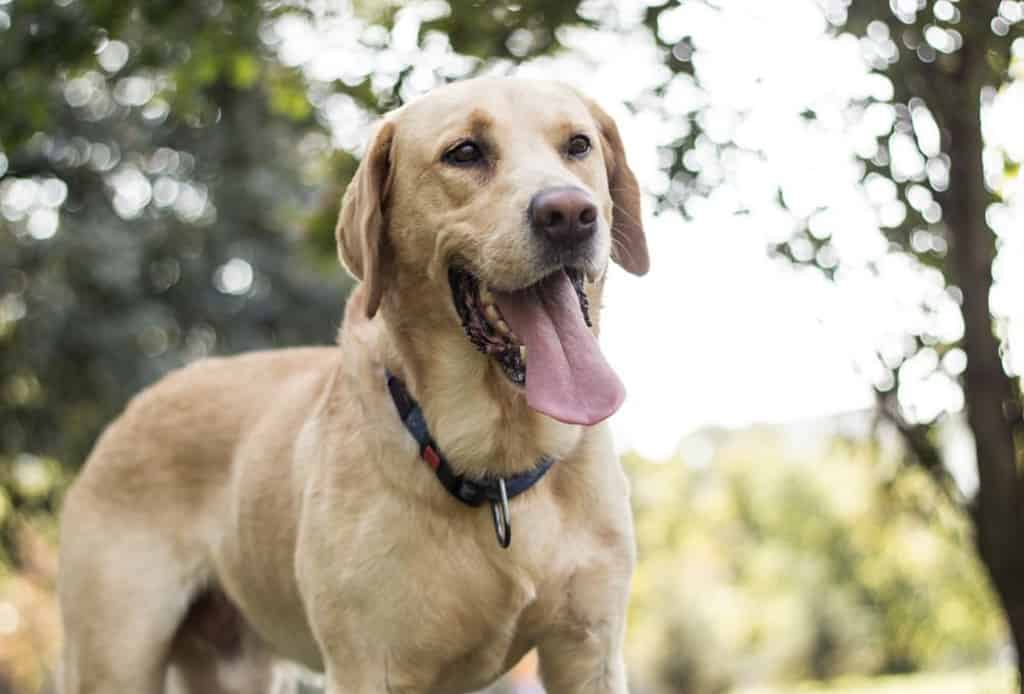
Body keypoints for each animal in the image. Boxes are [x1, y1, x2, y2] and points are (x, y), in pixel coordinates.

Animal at [58, 78, 647, 694]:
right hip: (115, 656)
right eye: (464, 152)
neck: (498, 467)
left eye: (577, 145)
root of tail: (134, 408)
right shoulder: (369, 665)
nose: (569, 213)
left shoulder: (590, 652)